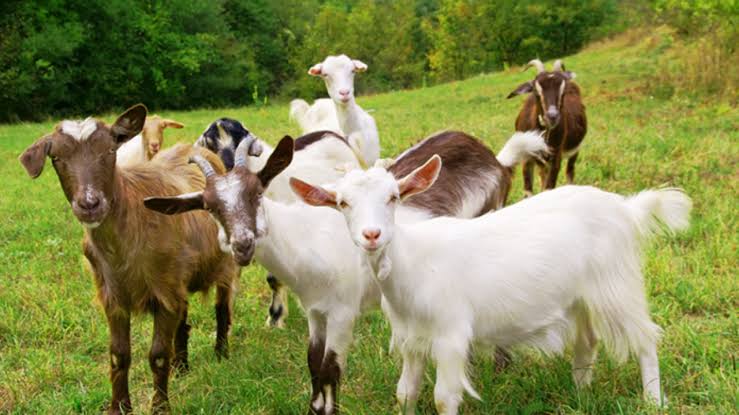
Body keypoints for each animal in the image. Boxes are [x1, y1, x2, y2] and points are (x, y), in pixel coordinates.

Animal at [19, 105, 239, 415]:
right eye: (57, 158)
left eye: (111, 151)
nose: (89, 204)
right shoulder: (114, 295)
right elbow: (118, 355)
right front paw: (119, 406)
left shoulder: (164, 290)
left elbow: (157, 354)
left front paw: (160, 407)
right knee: (183, 318)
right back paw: (181, 366)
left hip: (224, 264)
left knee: (222, 307)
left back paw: (221, 353)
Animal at [144, 129, 542, 414]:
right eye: (209, 206)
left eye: (257, 191)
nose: (242, 244)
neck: (307, 240)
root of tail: (494, 158)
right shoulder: (315, 311)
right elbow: (312, 365)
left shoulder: (342, 311)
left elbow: (329, 369)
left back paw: (501, 367)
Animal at [293, 155, 691, 414]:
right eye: (342, 203)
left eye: (393, 197)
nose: (372, 235)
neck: (413, 264)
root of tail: (626, 209)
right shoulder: (411, 338)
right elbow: (405, 393)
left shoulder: (451, 334)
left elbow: (444, 397)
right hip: (581, 295)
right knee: (588, 340)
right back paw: (580, 393)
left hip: (616, 283)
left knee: (645, 338)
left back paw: (653, 400)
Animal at [507, 59, 587, 196]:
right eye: (536, 91)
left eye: (563, 92)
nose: (552, 116)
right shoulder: (527, 158)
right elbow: (528, 191)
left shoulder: (556, 156)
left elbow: (549, 188)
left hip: (575, 150)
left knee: (570, 171)